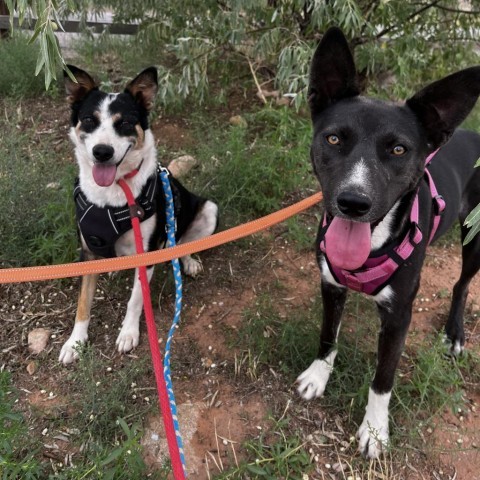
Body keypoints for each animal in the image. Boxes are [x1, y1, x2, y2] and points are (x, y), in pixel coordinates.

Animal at [60, 64, 219, 364]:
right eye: (88, 120)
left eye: (124, 123)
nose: (102, 152)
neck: (113, 193)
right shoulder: (87, 251)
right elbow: (83, 303)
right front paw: (75, 342)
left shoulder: (147, 252)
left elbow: (135, 299)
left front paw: (128, 333)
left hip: (208, 210)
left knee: (183, 243)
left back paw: (189, 261)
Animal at [296, 28, 480, 460]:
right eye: (334, 138)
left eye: (398, 149)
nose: (353, 202)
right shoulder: (330, 286)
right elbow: (327, 335)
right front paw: (318, 374)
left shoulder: (399, 316)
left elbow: (383, 378)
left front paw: (375, 430)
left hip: (476, 238)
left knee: (462, 285)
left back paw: (454, 333)